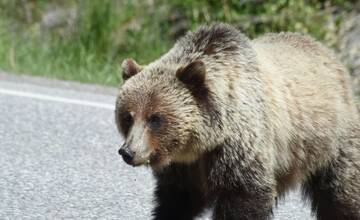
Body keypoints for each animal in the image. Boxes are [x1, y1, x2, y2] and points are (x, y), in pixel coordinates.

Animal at [116, 24, 360, 220]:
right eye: (127, 116)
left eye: (155, 118)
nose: (128, 152)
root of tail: (329, 55)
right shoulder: (183, 168)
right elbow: (176, 200)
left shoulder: (239, 147)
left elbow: (243, 194)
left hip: (332, 141)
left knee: (340, 194)